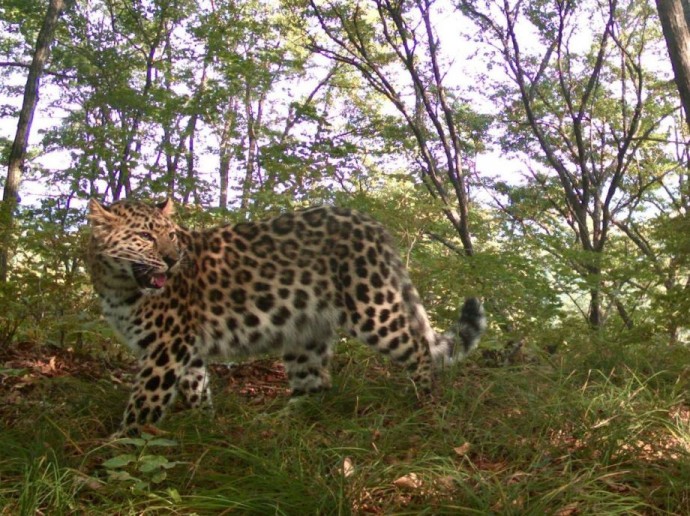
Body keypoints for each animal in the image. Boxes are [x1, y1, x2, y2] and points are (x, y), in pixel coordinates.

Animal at [86, 199, 484, 436]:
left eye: (170, 235)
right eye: (144, 236)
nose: (172, 259)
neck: (117, 283)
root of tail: (371, 224)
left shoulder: (166, 347)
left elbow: (145, 400)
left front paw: (118, 444)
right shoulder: (184, 345)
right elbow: (196, 386)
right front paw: (205, 423)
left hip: (372, 307)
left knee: (417, 347)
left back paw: (424, 403)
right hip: (305, 330)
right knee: (315, 384)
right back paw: (278, 422)